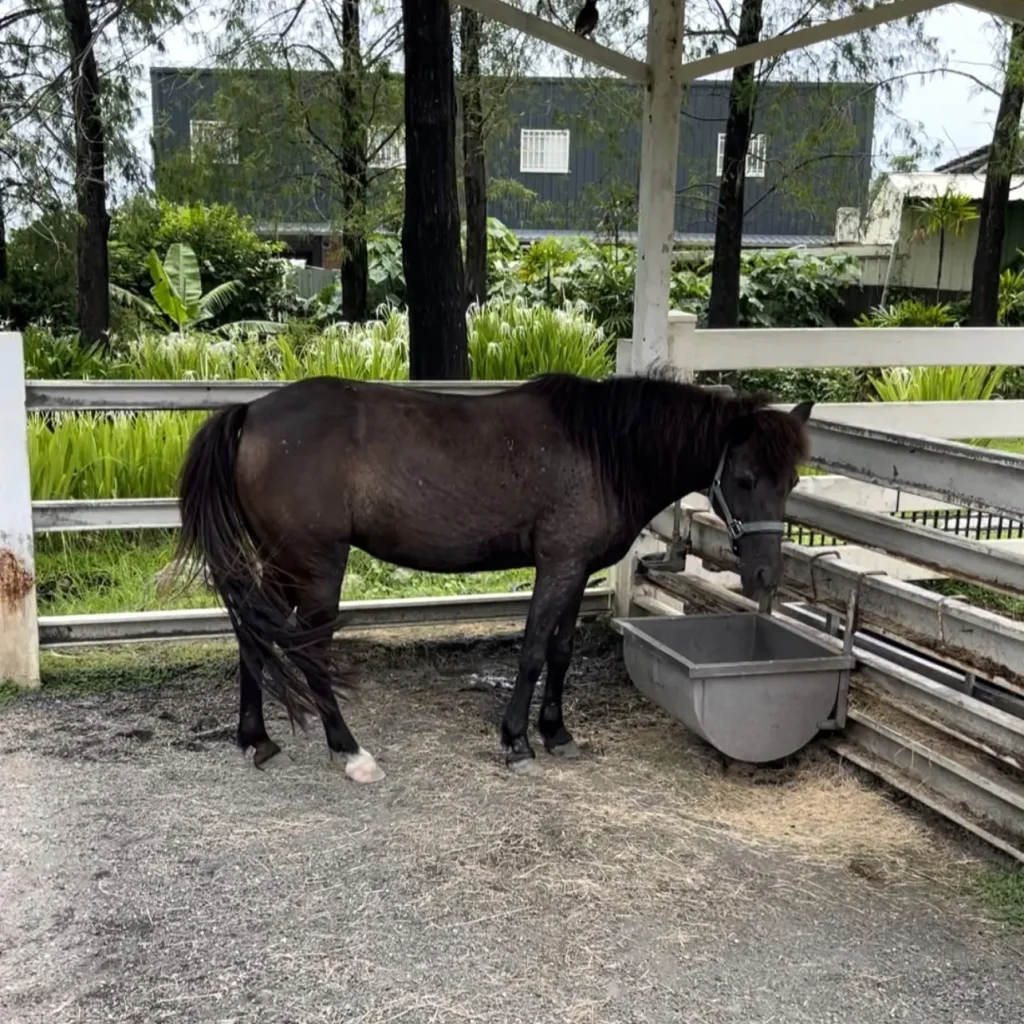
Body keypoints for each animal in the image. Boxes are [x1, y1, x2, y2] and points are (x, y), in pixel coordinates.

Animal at [172, 371, 813, 783]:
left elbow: (560, 652)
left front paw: (556, 733)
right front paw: (517, 741)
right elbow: (531, 652)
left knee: (254, 639)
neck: (602, 450)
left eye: (792, 481)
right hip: (314, 565)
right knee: (307, 650)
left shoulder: (577, 571)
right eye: (745, 477)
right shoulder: (557, 565)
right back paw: (349, 751)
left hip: (278, 564)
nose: (765, 575)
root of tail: (251, 413)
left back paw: (258, 741)